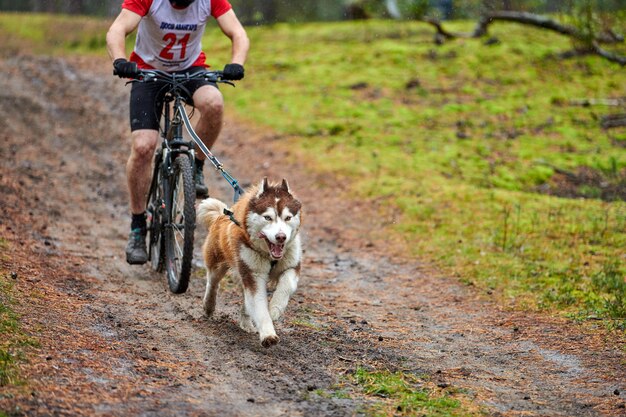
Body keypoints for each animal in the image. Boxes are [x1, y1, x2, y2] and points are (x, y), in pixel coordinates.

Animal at [196, 177, 302, 346]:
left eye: (288, 218)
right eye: (267, 217)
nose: (281, 237)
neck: (269, 255)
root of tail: (222, 215)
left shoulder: (291, 266)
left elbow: (287, 285)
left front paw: (274, 309)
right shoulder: (253, 275)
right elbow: (259, 306)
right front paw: (268, 334)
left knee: (245, 302)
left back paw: (246, 324)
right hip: (219, 264)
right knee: (213, 283)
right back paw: (209, 305)